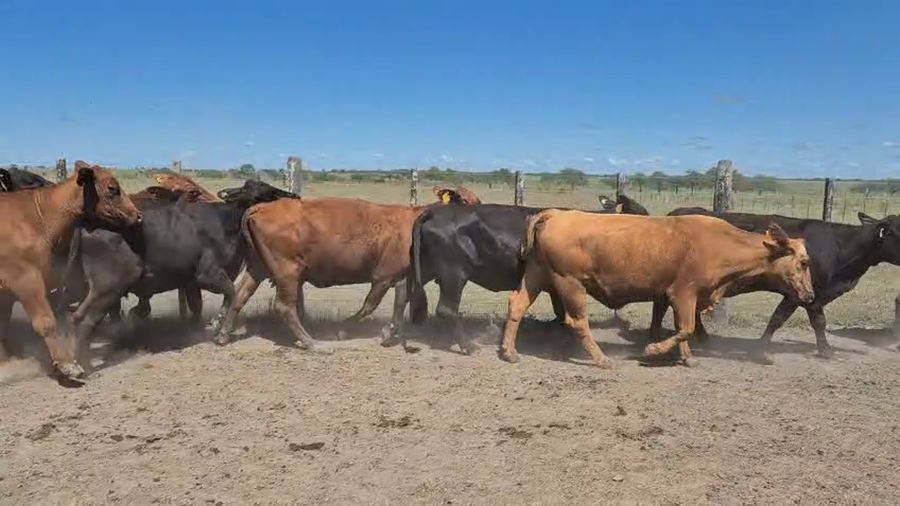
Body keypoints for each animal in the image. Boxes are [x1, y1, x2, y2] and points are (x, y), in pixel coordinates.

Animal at [0, 162, 142, 382]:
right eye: (112, 188)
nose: (137, 215)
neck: (36, 218)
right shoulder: (26, 280)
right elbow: (46, 323)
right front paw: (67, 365)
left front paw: (5, 362)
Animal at [209, 192, 481, 349]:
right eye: (467, 202)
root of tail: (260, 208)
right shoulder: (383, 276)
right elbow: (370, 305)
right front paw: (343, 330)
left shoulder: (401, 276)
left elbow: (400, 302)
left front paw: (392, 333)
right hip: (287, 271)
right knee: (283, 306)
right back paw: (310, 342)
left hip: (258, 267)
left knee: (239, 296)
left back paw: (223, 334)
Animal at [405, 196, 650, 353]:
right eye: (638, 214)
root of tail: (434, 212)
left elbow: (560, 314)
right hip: (454, 275)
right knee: (446, 309)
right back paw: (468, 346)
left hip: (426, 270)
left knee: (405, 294)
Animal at [499, 210, 814, 368]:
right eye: (804, 262)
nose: (810, 295)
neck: (720, 243)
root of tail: (554, 214)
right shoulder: (683, 294)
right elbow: (686, 327)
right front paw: (654, 350)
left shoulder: (665, 295)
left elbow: (670, 325)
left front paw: (685, 356)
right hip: (569, 283)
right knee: (577, 322)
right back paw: (601, 359)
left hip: (536, 275)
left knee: (517, 305)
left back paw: (509, 350)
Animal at [662, 207, 900, 362]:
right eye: (897, 232)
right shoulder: (800, 294)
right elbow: (783, 319)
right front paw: (760, 350)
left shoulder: (814, 295)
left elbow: (813, 321)